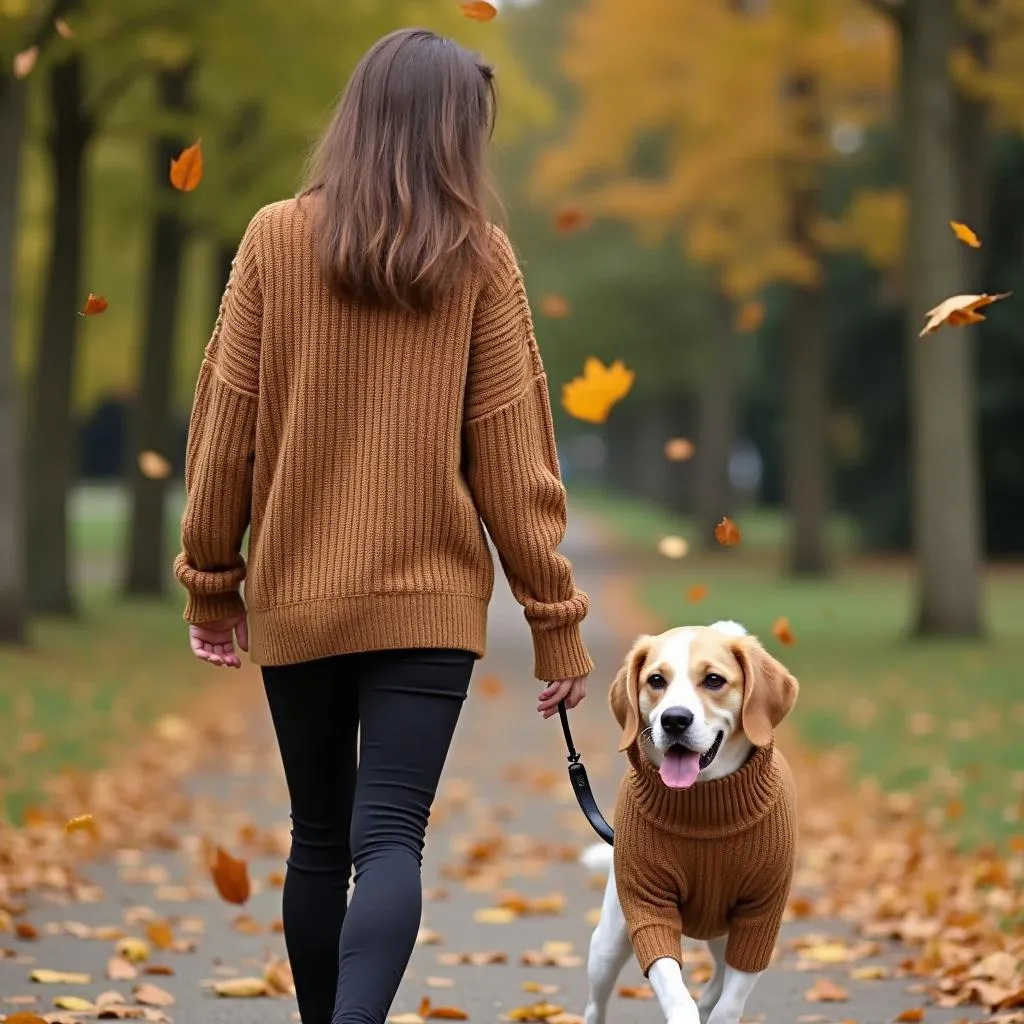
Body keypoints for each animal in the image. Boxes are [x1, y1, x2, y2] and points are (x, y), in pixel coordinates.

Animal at [581, 614, 794, 1024]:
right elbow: (675, 990)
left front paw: (719, 1013)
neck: (704, 806)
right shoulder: (649, 910)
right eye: (656, 680)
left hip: (726, 936)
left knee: (718, 982)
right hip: (609, 942)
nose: (674, 719)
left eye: (713, 680)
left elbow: (730, 1003)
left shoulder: (759, 921)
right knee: (595, 1002)